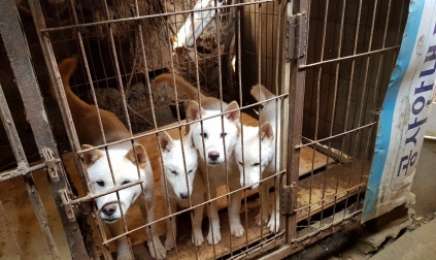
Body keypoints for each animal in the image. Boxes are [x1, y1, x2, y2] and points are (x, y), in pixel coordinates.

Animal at [52, 57, 165, 260]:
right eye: (100, 183)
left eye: (126, 183)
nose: (108, 209)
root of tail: (88, 109)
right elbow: (119, 236)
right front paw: (125, 255)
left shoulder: (149, 200)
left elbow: (151, 227)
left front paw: (156, 247)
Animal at [152, 74, 245, 245]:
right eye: (203, 135)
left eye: (224, 134)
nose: (213, 155)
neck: (220, 168)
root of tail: (203, 97)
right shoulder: (208, 190)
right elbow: (212, 214)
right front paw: (214, 234)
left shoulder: (236, 184)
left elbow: (234, 208)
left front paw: (235, 226)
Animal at [235, 84, 282, 233]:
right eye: (240, 163)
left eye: (257, 163)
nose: (246, 187)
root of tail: (274, 97)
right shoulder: (261, 181)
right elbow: (264, 200)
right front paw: (263, 217)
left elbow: (277, 205)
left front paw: (274, 222)